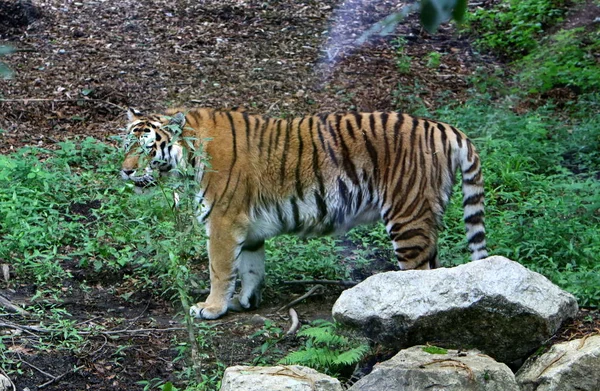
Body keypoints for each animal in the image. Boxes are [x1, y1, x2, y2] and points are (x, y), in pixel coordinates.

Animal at [122, 108, 488, 322]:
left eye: (148, 148)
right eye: (125, 145)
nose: (125, 171)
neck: (188, 158)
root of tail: (443, 127)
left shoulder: (224, 221)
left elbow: (220, 269)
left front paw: (211, 307)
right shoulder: (248, 229)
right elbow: (251, 267)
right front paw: (245, 301)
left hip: (408, 217)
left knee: (420, 276)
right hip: (425, 219)